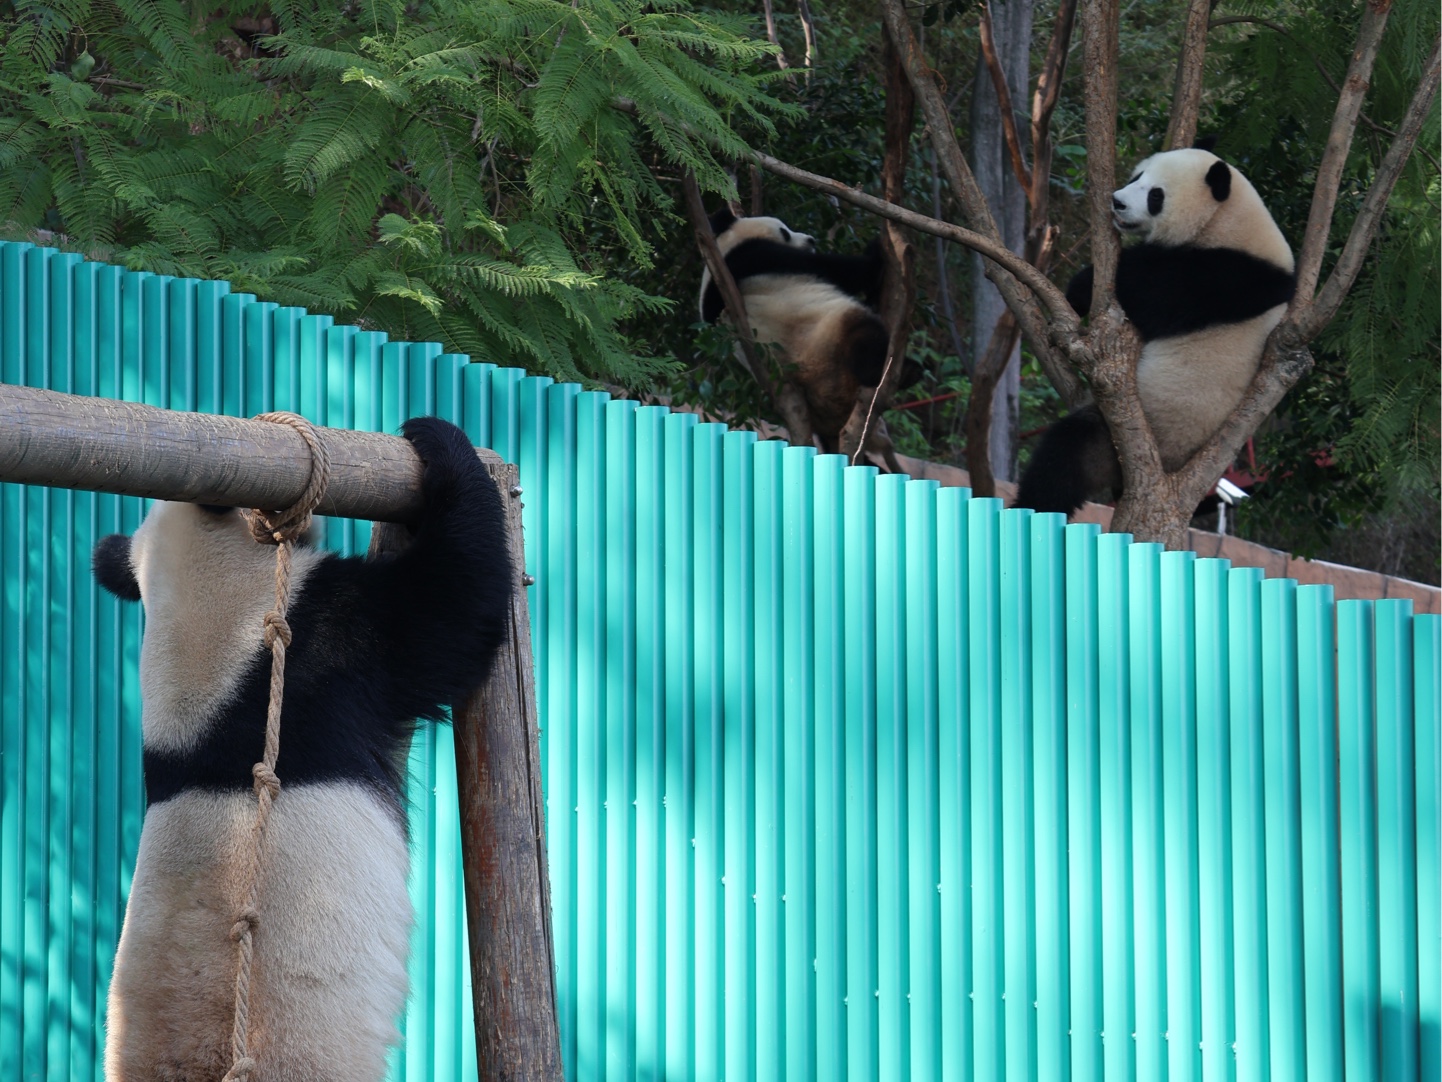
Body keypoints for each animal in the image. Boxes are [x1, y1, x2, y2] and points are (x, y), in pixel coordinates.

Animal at [697, 209, 911, 455]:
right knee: (866, 336)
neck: (722, 249)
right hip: (827, 339)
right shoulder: (755, 255)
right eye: (784, 231)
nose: (811, 240)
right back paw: (901, 372)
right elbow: (840, 270)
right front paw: (876, 249)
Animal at [1015, 146, 1297, 519]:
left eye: (1155, 196)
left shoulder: (1229, 276)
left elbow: (1146, 291)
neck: (1226, 220)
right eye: (1138, 176)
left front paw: (1079, 290)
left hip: (1134, 434)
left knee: (1064, 457)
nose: (1117, 202)